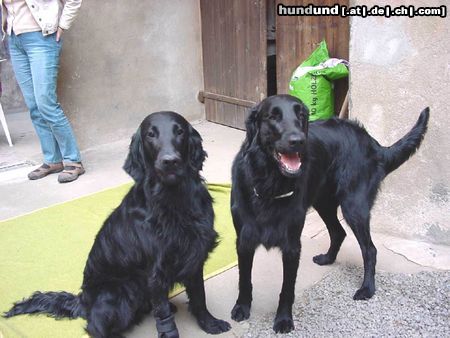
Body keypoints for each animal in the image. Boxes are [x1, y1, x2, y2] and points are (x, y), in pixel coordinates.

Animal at [5, 112, 232, 338]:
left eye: (180, 131)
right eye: (150, 134)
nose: (170, 161)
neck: (174, 199)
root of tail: (83, 300)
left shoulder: (195, 255)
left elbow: (199, 297)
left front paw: (209, 323)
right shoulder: (156, 273)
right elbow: (164, 317)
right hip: (120, 292)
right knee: (95, 326)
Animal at [230, 94, 430, 332]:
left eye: (301, 115)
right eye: (272, 116)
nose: (298, 140)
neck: (270, 184)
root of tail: (371, 142)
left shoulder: (292, 245)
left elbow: (287, 288)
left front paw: (284, 319)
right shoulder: (244, 239)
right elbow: (244, 279)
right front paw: (242, 307)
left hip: (354, 206)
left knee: (369, 249)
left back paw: (367, 288)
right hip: (324, 203)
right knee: (338, 232)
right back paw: (328, 258)